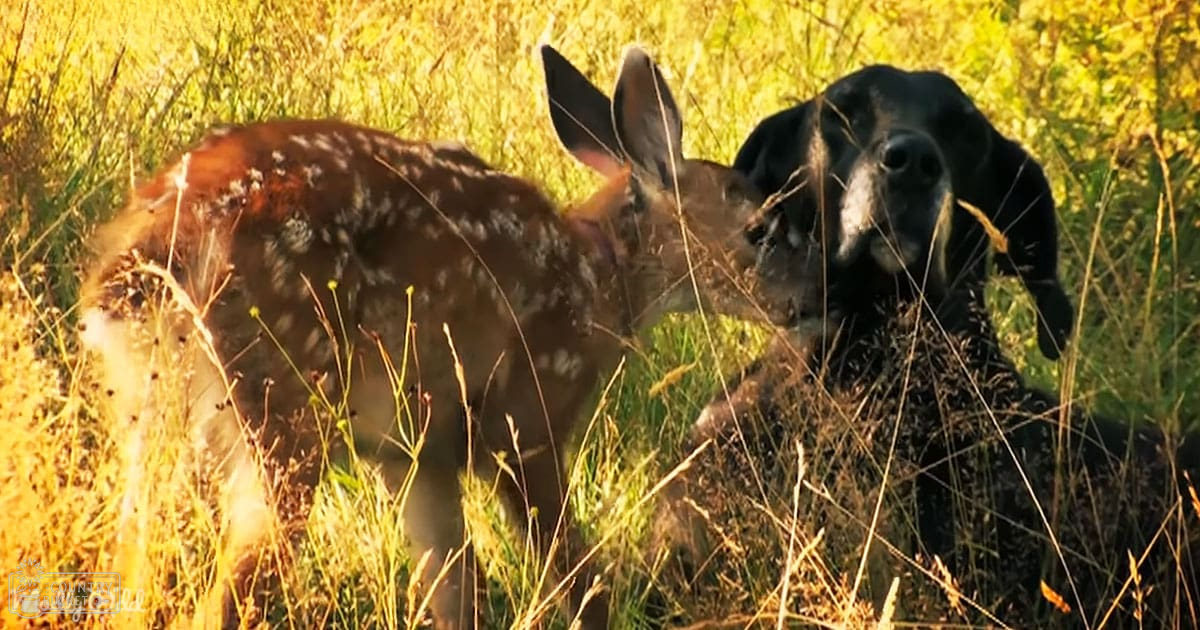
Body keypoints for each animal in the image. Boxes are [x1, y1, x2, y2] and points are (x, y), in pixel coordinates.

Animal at [77, 44, 806, 629]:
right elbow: (577, 576)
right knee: (224, 596)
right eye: (760, 228)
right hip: (280, 404)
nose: (803, 300)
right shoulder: (527, 420)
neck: (597, 280)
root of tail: (151, 255)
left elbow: (458, 592)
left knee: (132, 579)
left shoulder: (414, 453)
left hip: (149, 421)